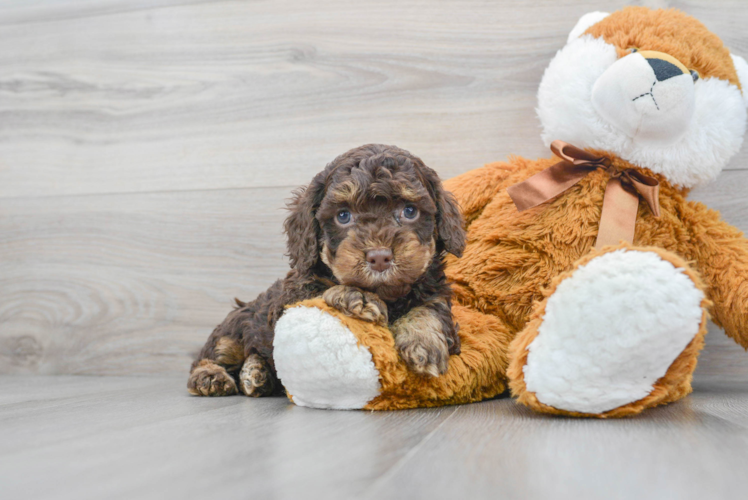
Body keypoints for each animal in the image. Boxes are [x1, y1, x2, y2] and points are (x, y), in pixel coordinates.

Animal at [190, 143, 464, 396]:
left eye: (409, 211)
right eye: (343, 216)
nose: (379, 257)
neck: (388, 295)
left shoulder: (434, 289)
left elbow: (431, 307)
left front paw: (424, 341)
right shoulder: (289, 301)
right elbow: (319, 290)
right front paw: (358, 295)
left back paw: (257, 373)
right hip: (236, 326)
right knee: (213, 352)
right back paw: (211, 376)